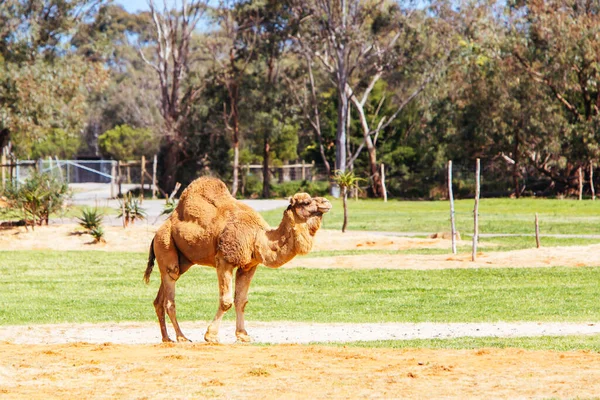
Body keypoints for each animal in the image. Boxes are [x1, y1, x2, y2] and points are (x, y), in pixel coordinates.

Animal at [145, 177, 332, 342]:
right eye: (305, 202)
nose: (326, 202)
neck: (257, 237)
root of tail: (157, 233)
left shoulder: (249, 266)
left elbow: (241, 300)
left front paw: (243, 335)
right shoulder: (224, 260)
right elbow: (226, 301)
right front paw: (211, 336)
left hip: (183, 259)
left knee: (160, 297)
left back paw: (167, 338)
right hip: (165, 243)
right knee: (170, 293)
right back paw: (182, 338)